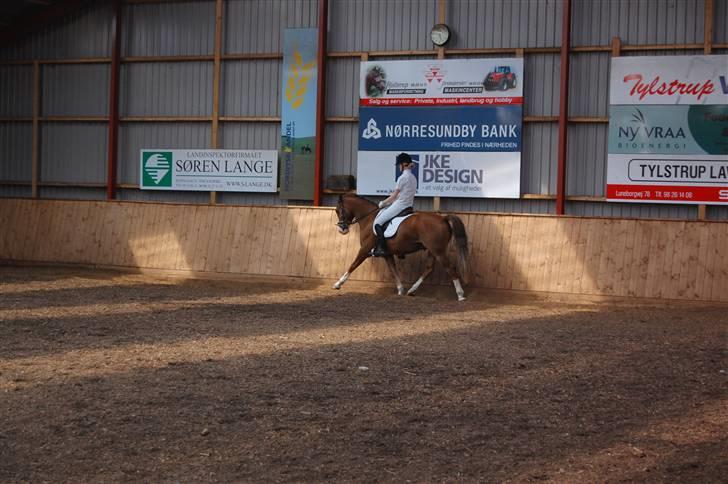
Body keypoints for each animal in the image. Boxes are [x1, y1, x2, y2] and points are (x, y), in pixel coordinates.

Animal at [334, 192, 470, 298]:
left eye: (337, 210)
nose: (342, 229)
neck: (369, 218)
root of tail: (443, 219)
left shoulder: (365, 250)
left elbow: (353, 265)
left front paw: (338, 284)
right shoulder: (387, 254)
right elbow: (393, 270)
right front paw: (400, 290)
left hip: (438, 251)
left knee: (450, 267)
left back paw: (460, 294)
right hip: (432, 250)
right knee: (429, 268)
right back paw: (412, 290)